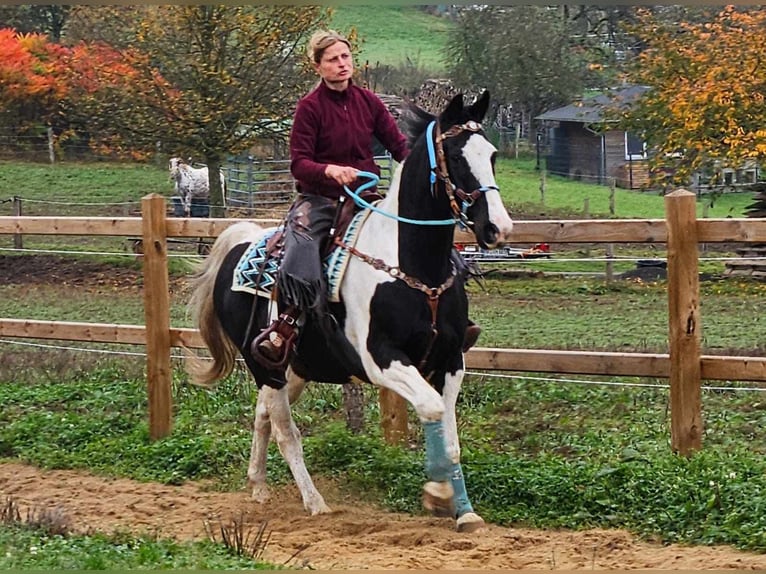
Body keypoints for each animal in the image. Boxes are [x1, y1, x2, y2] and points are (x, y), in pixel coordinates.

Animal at [184, 91, 516, 536]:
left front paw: (464, 511)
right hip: (267, 366)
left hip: (295, 368)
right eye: (457, 157)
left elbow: (449, 434)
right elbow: (430, 408)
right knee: (286, 431)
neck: (411, 265)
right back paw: (314, 502)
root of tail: (240, 242)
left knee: (263, 415)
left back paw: (258, 487)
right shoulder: (382, 359)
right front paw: (437, 492)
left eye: (492, 155)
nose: (498, 228)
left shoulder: (450, 359)